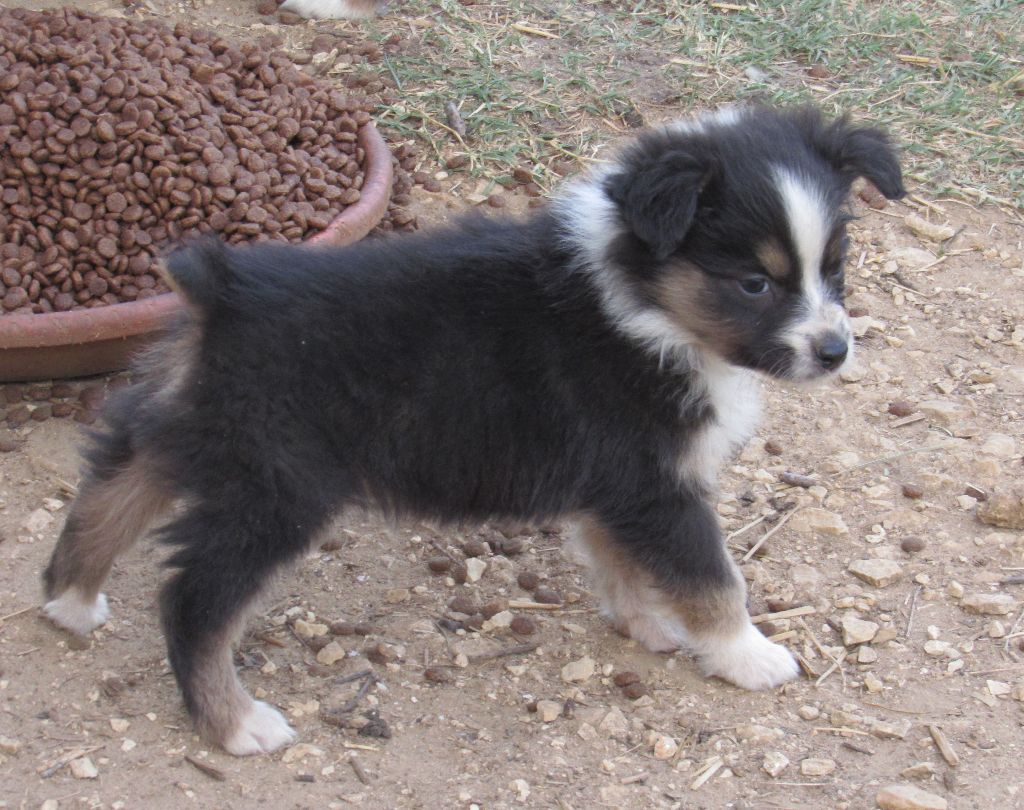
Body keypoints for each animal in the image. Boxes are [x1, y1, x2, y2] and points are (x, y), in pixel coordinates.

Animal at [42, 105, 904, 756]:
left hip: (189, 428)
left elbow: (621, 560)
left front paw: (645, 624)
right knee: (195, 599)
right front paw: (749, 655)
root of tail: (221, 292)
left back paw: (69, 602)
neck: (641, 301)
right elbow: (712, 576)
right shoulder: (654, 482)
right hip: (277, 486)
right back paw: (236, 725)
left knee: (108, 489)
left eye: (834, 267)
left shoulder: (615, 487)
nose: (834, 350)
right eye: (755, 283)